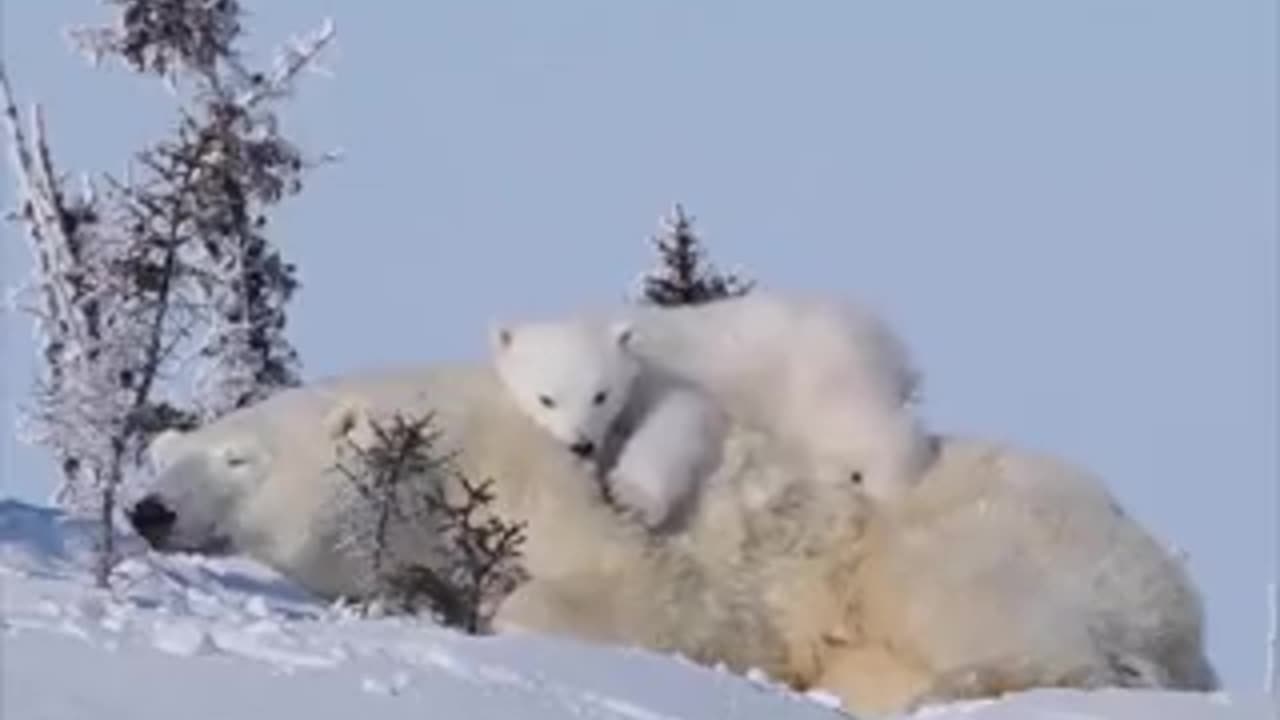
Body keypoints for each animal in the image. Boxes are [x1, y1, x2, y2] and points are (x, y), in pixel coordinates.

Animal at [129, 361, 1218, 712]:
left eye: (238, 459)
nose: (149, 510)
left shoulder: (606, 514)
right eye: (169, 456)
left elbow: (655, 599)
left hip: (981, 532)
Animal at [486, 286, 931, 504]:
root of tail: (890, 342)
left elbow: (681, 418)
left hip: (821, 368)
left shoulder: (667, 377)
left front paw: (631, 496)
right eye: (547, 398)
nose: (581, 445)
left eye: (600, 395)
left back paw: (886, 482)